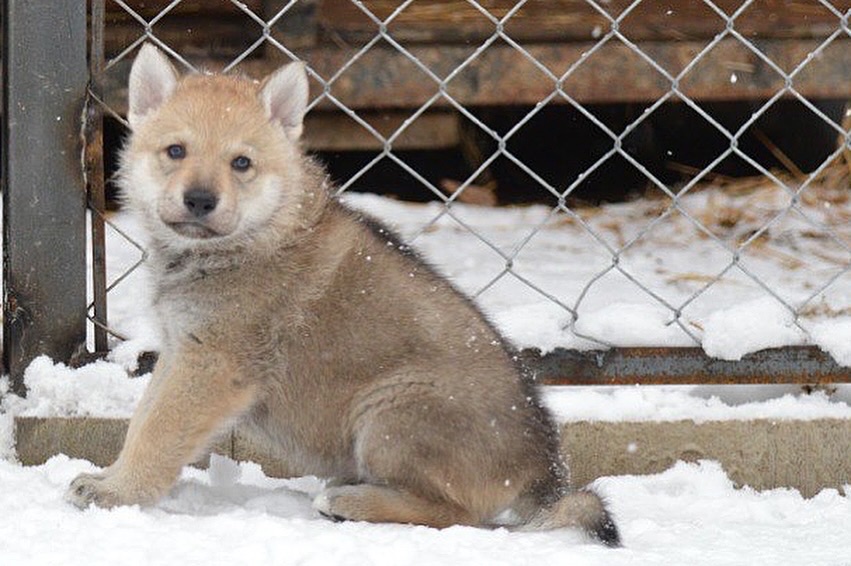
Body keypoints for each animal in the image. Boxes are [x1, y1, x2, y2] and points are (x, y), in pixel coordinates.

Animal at [68, 42, 620, 548]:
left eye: (241, 163)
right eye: (175, 151)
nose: (200, 200)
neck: (251, 238)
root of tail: (543, 470)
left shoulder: (211, 365)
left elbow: (158, 436)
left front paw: (118, 492)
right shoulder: (181, 353)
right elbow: (143, 421)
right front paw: (111, 477)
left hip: (389, 412)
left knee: (455, 513)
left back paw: (351, 501)